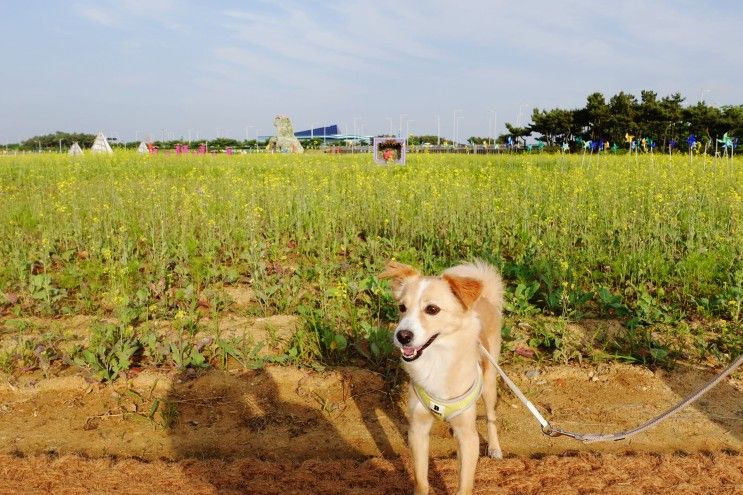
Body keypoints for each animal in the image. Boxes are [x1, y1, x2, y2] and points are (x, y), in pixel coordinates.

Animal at [380, 262, 502, 494]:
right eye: (402, 308)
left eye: (432, 309)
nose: (402, 336)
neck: (437, 358)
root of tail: (485, 298)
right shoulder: (417, 430)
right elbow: (421, 480)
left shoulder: (468, 437)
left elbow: (464, 485)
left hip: (490, 380)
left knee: (491, 416)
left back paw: (494, 447)